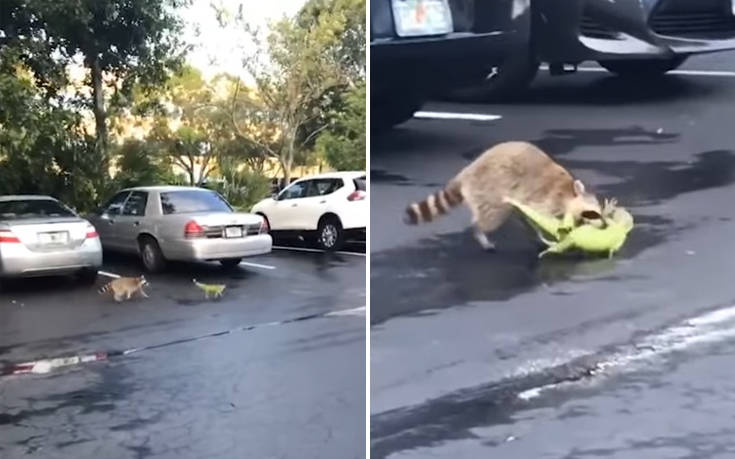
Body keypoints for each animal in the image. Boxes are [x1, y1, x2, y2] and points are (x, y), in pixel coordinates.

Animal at [402, 142, 604, 252]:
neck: (570, 193)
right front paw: (562, 236)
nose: (604, 225)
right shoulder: (548, 199)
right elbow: (543, 217)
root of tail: (466, 173)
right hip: (490, 189)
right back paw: (479, 231)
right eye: (593, 213)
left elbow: (530, 219)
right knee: (491, 217)